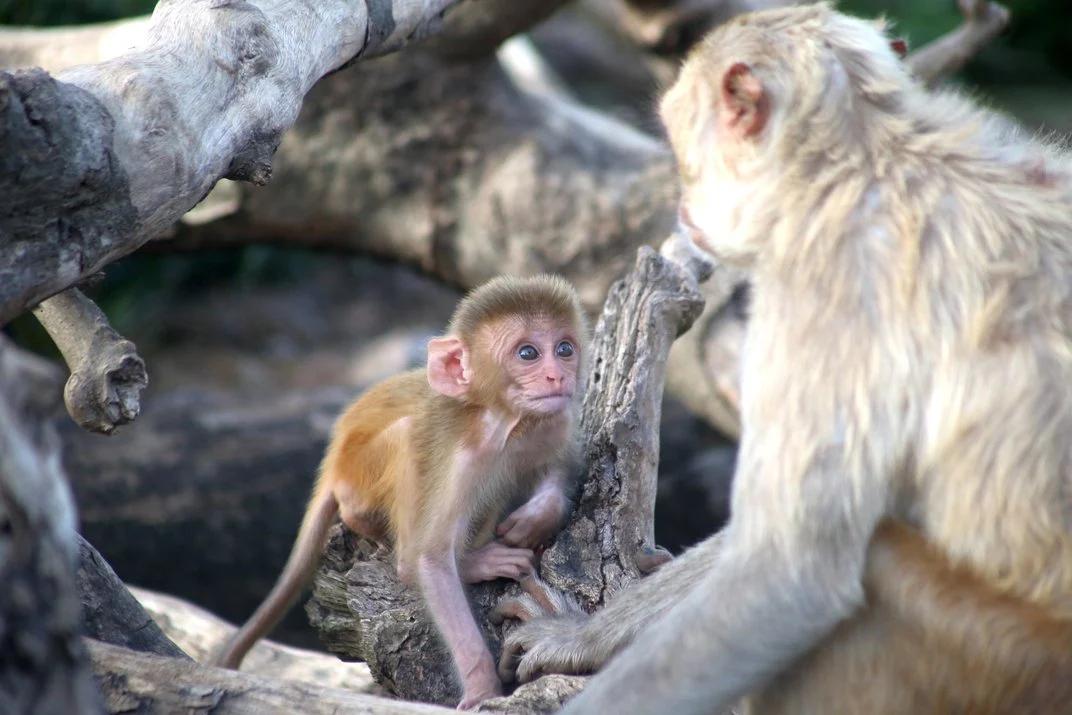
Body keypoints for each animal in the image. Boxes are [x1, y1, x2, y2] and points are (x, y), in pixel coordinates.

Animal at [213, 274, 587, 711]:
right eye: (528, 353)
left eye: (564, 349)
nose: (556, 376)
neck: (501, 421)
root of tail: (335, 458)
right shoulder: (461, 459)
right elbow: (431, 561)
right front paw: (481, 686)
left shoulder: (553, 421)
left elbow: (560, 466)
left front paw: (538, 518)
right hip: (360, 472)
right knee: (407, 446)